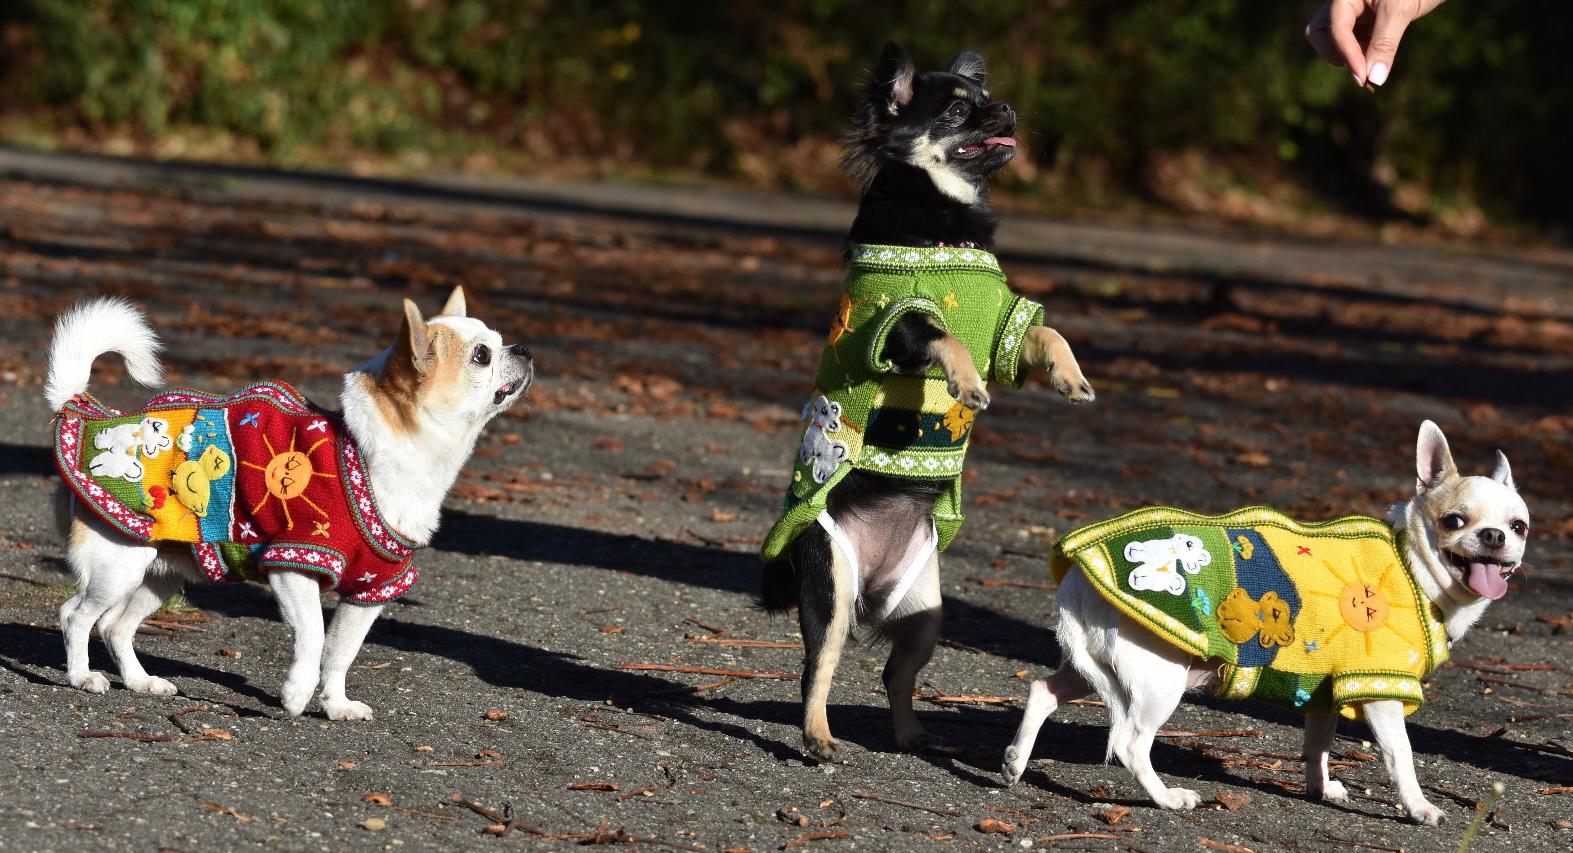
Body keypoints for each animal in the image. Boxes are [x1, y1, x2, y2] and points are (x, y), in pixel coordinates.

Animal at [47, 287, 532, 719]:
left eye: (499, 339)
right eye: (482, 356)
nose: (523, 348)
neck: (376, 457)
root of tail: (84, 413)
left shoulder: (371, 589)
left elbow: (341, 651)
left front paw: (335, 705)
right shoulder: (294, 565)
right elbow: (315, 634)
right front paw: (297, 693)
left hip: (161, 574)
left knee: (115, 627)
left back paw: (140, 681)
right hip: (119, 565)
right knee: (75, 616)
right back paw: (81, 677)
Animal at [758, 43, 1094, 762]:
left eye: (988, 97)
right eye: (961, 110)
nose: (1007, 108)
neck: (946, 224)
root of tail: (874, 591)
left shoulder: (1006, 328)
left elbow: (1046, 330)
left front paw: (1071, 378)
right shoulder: (900, 324)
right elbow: (946, 339)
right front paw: (966, 387)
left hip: (925, 614)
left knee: (895, 673)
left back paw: (911, 732)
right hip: (831, 590)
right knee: (817, 668)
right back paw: (818, 736)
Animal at [1002, 421, 1530, 825]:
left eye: (1519, 526)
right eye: (1454, 521)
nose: (1494, 536)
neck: (1410, 564)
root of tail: (1078, 576)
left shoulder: (1324, 691)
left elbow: (1318, 744)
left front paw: (1321, 788)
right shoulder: (1379, 688)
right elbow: (1400, 756)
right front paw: (1419, 808)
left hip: (1098, 666)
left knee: (1044, 691)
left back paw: (1014, 762)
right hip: (1158, 679)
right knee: (1131, 744)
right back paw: (1168, 797)